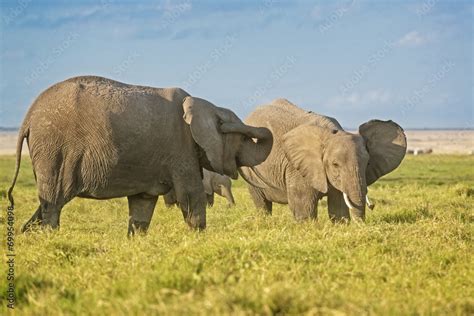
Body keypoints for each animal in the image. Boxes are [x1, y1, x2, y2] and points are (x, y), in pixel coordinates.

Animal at [7, 76, 272, 235]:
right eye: (243, 138)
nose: (230, 126)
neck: (202, 104)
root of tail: (28, 117)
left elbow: (143, 204)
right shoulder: (180, 148)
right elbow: (191, 196)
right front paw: (199, 238)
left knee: (46, 204)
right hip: (55, 152)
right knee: (53, 203)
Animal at [241, 99, 408, 222]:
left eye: (367, 164)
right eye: (335, 164)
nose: (372, 206)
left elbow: (338, 206)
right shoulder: (297, 167)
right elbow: (304, 207)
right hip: (250, 170)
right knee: (261, 202)